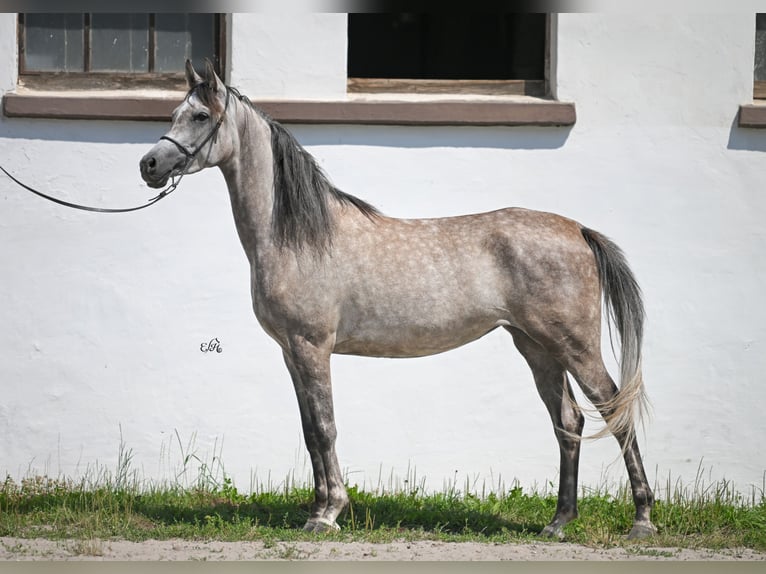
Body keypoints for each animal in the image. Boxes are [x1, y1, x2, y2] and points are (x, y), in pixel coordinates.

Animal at [141, 60, 656, 544]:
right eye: (174, 113)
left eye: (200, 115)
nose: (149, 164)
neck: (298, 236)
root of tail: (579, 230)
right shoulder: (292, 352)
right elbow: (310, 432)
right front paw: (317, 509)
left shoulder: (312, 347)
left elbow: (325, 427)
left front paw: (328, 514)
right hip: (536, 347)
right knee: (567, 420)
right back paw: (558, 522)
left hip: (575, 346)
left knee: (614, 411)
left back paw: (642, 520)